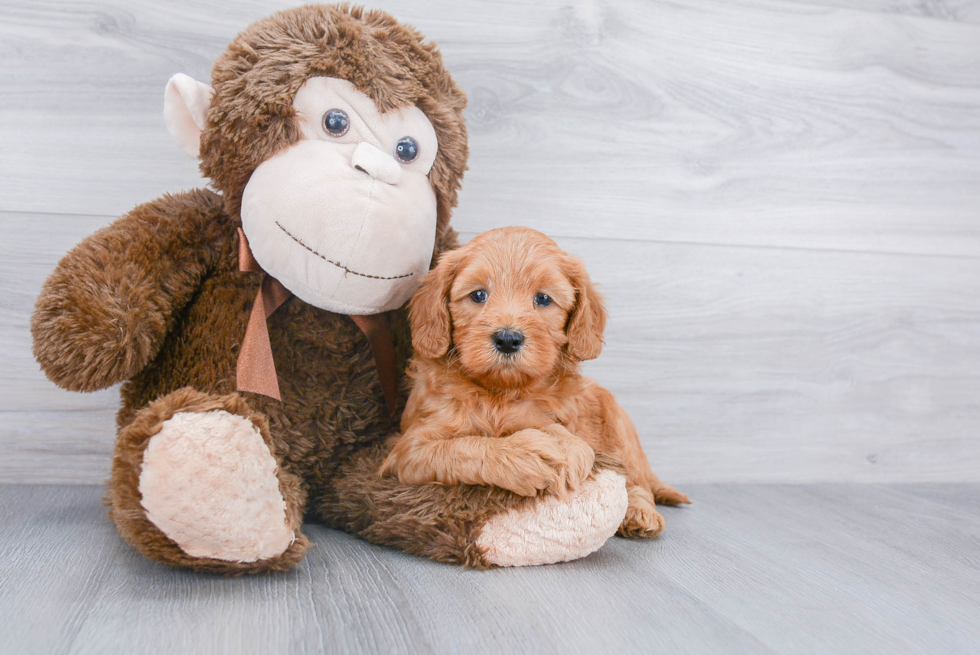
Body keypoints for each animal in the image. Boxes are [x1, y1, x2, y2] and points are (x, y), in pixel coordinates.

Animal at [378, 228, 688, 536]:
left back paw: (639, 513)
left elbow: (559, 432)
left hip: (619, 425)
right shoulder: (408, 449)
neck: (500, 392)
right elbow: (461, 447)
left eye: (543, 299)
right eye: (478, 294)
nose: (507, 339)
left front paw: (562, 444)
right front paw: (526, 452)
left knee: (636, 478)